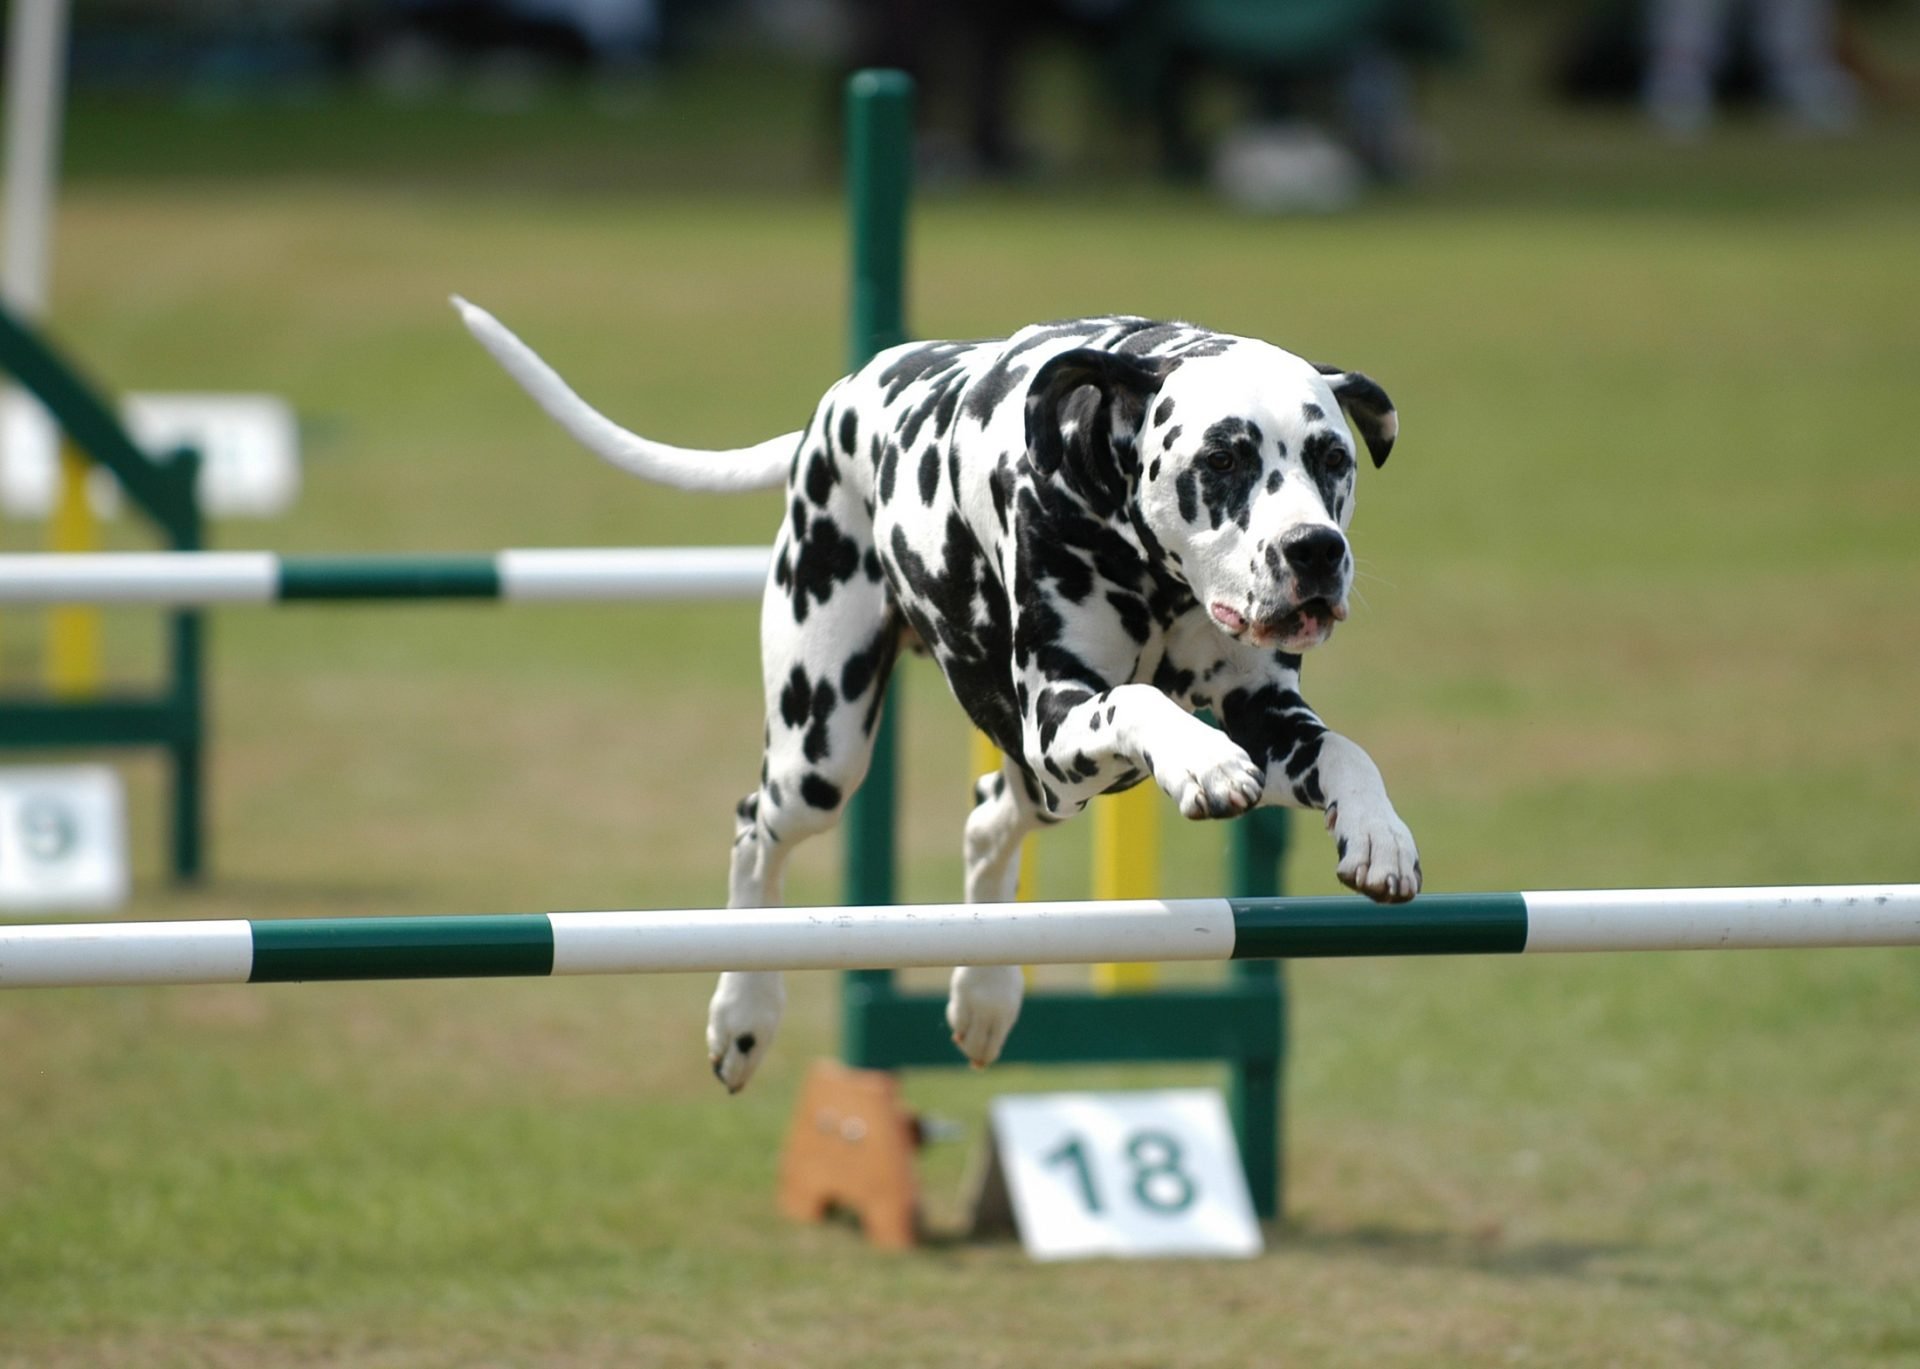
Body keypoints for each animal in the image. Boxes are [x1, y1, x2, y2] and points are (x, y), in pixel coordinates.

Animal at [453, 299, 1428, 1090]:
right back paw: (743, 1014)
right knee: (756, 828)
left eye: (1332, 457)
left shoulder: (1263, 712)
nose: (1315, 550)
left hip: (1045, 780)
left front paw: (1379, 834)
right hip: (825, 752)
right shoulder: (1058, 715)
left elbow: (1346, 750)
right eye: (1222, 457)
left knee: (989, 815)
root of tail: (836, 404)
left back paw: (986, 993)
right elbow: (1145, 704)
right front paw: (1203, 762)